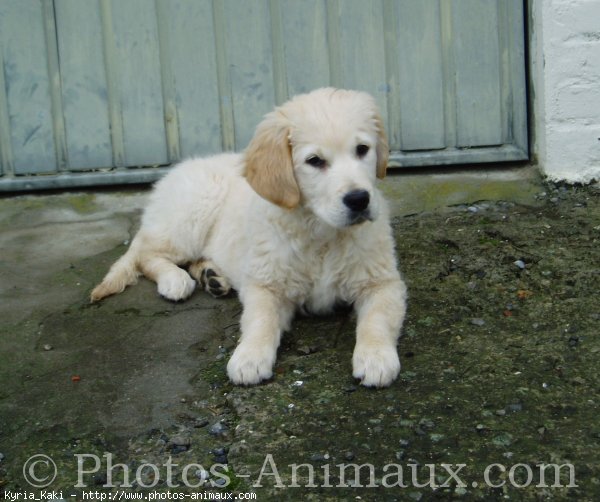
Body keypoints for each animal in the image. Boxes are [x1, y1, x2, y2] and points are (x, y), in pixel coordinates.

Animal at [90, 88, 408, 386]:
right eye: (315, 161)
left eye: (362, 149)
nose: (359, 199)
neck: (321, 233)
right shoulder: (266, 283)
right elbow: (260, 319)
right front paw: (249, 357)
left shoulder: (382, 282)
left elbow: (377, 318)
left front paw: (376, 357)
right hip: (190, 216)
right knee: (146, 254)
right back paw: (175, 280)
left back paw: (211, 276)